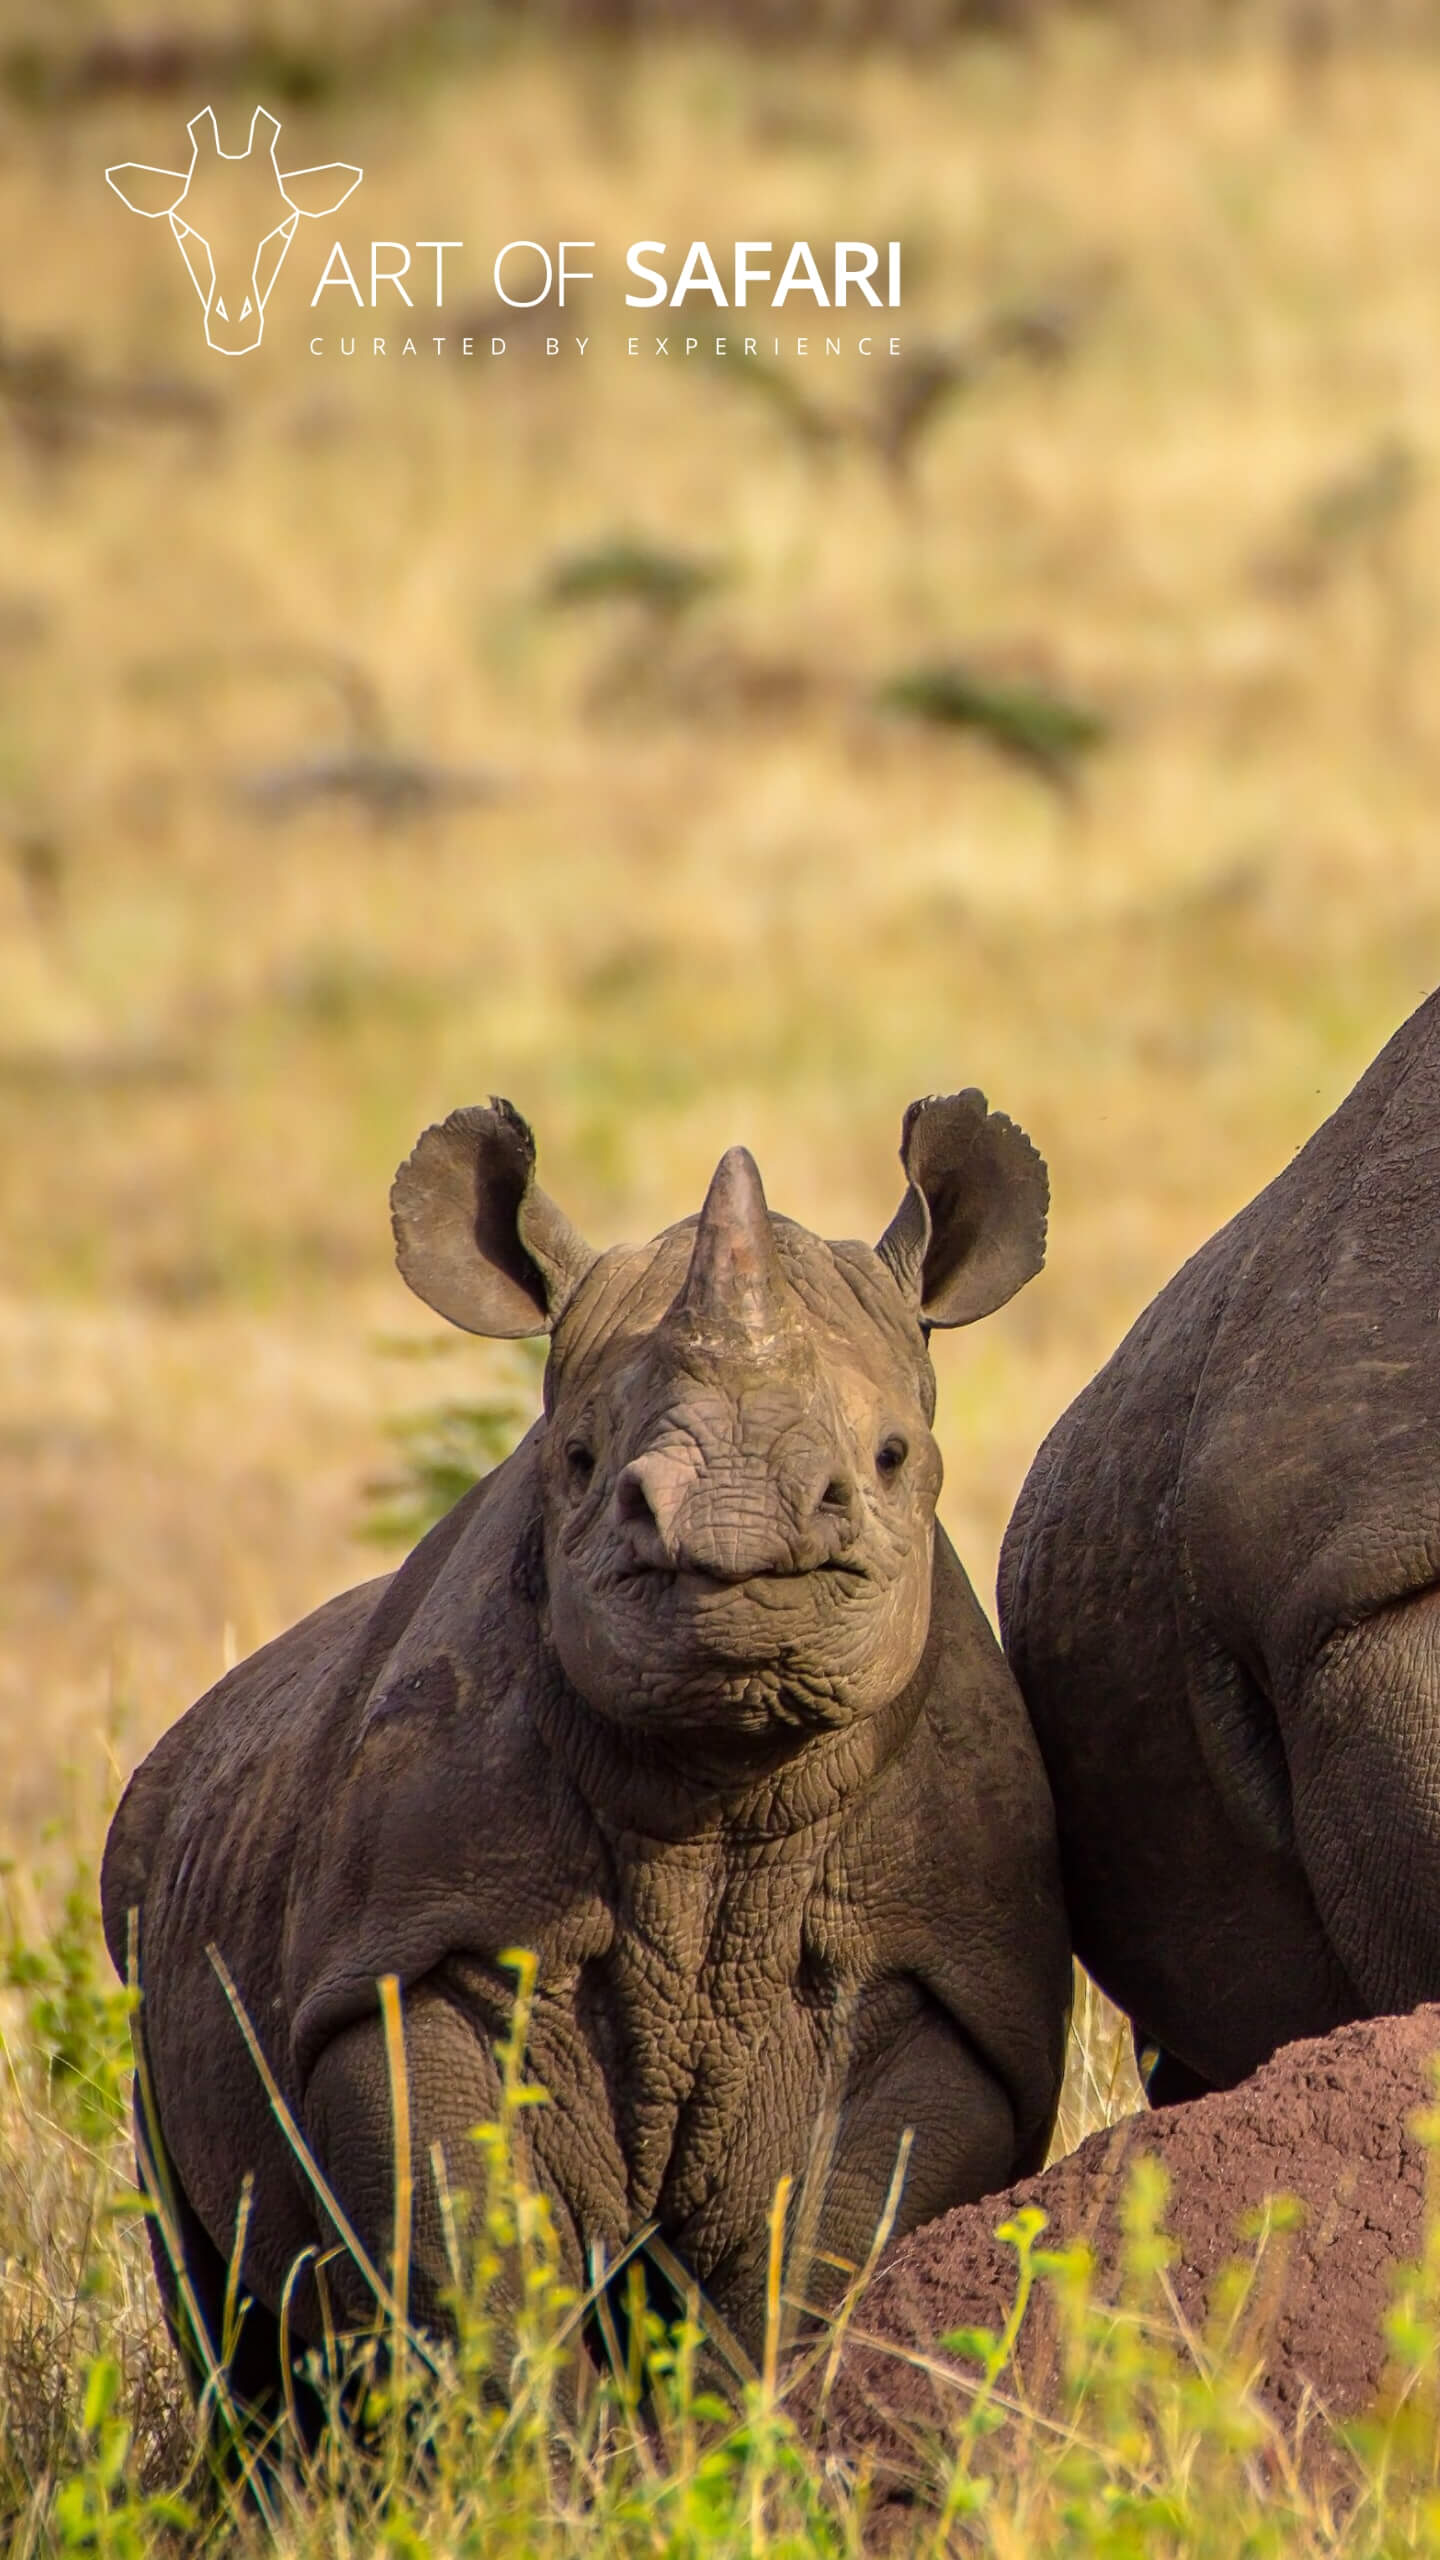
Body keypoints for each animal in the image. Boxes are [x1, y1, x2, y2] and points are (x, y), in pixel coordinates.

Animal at [101, 1090, 1065, 2406]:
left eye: (891, 1456)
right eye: (580, 1462)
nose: (734, 1530)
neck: (722, 1790)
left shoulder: (934, 1994)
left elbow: (814, 2258)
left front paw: (750, 2435)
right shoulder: (418, 1959)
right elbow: (473, 2261)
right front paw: (519, 2453)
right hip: (149, 1882)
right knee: (219, 2306)